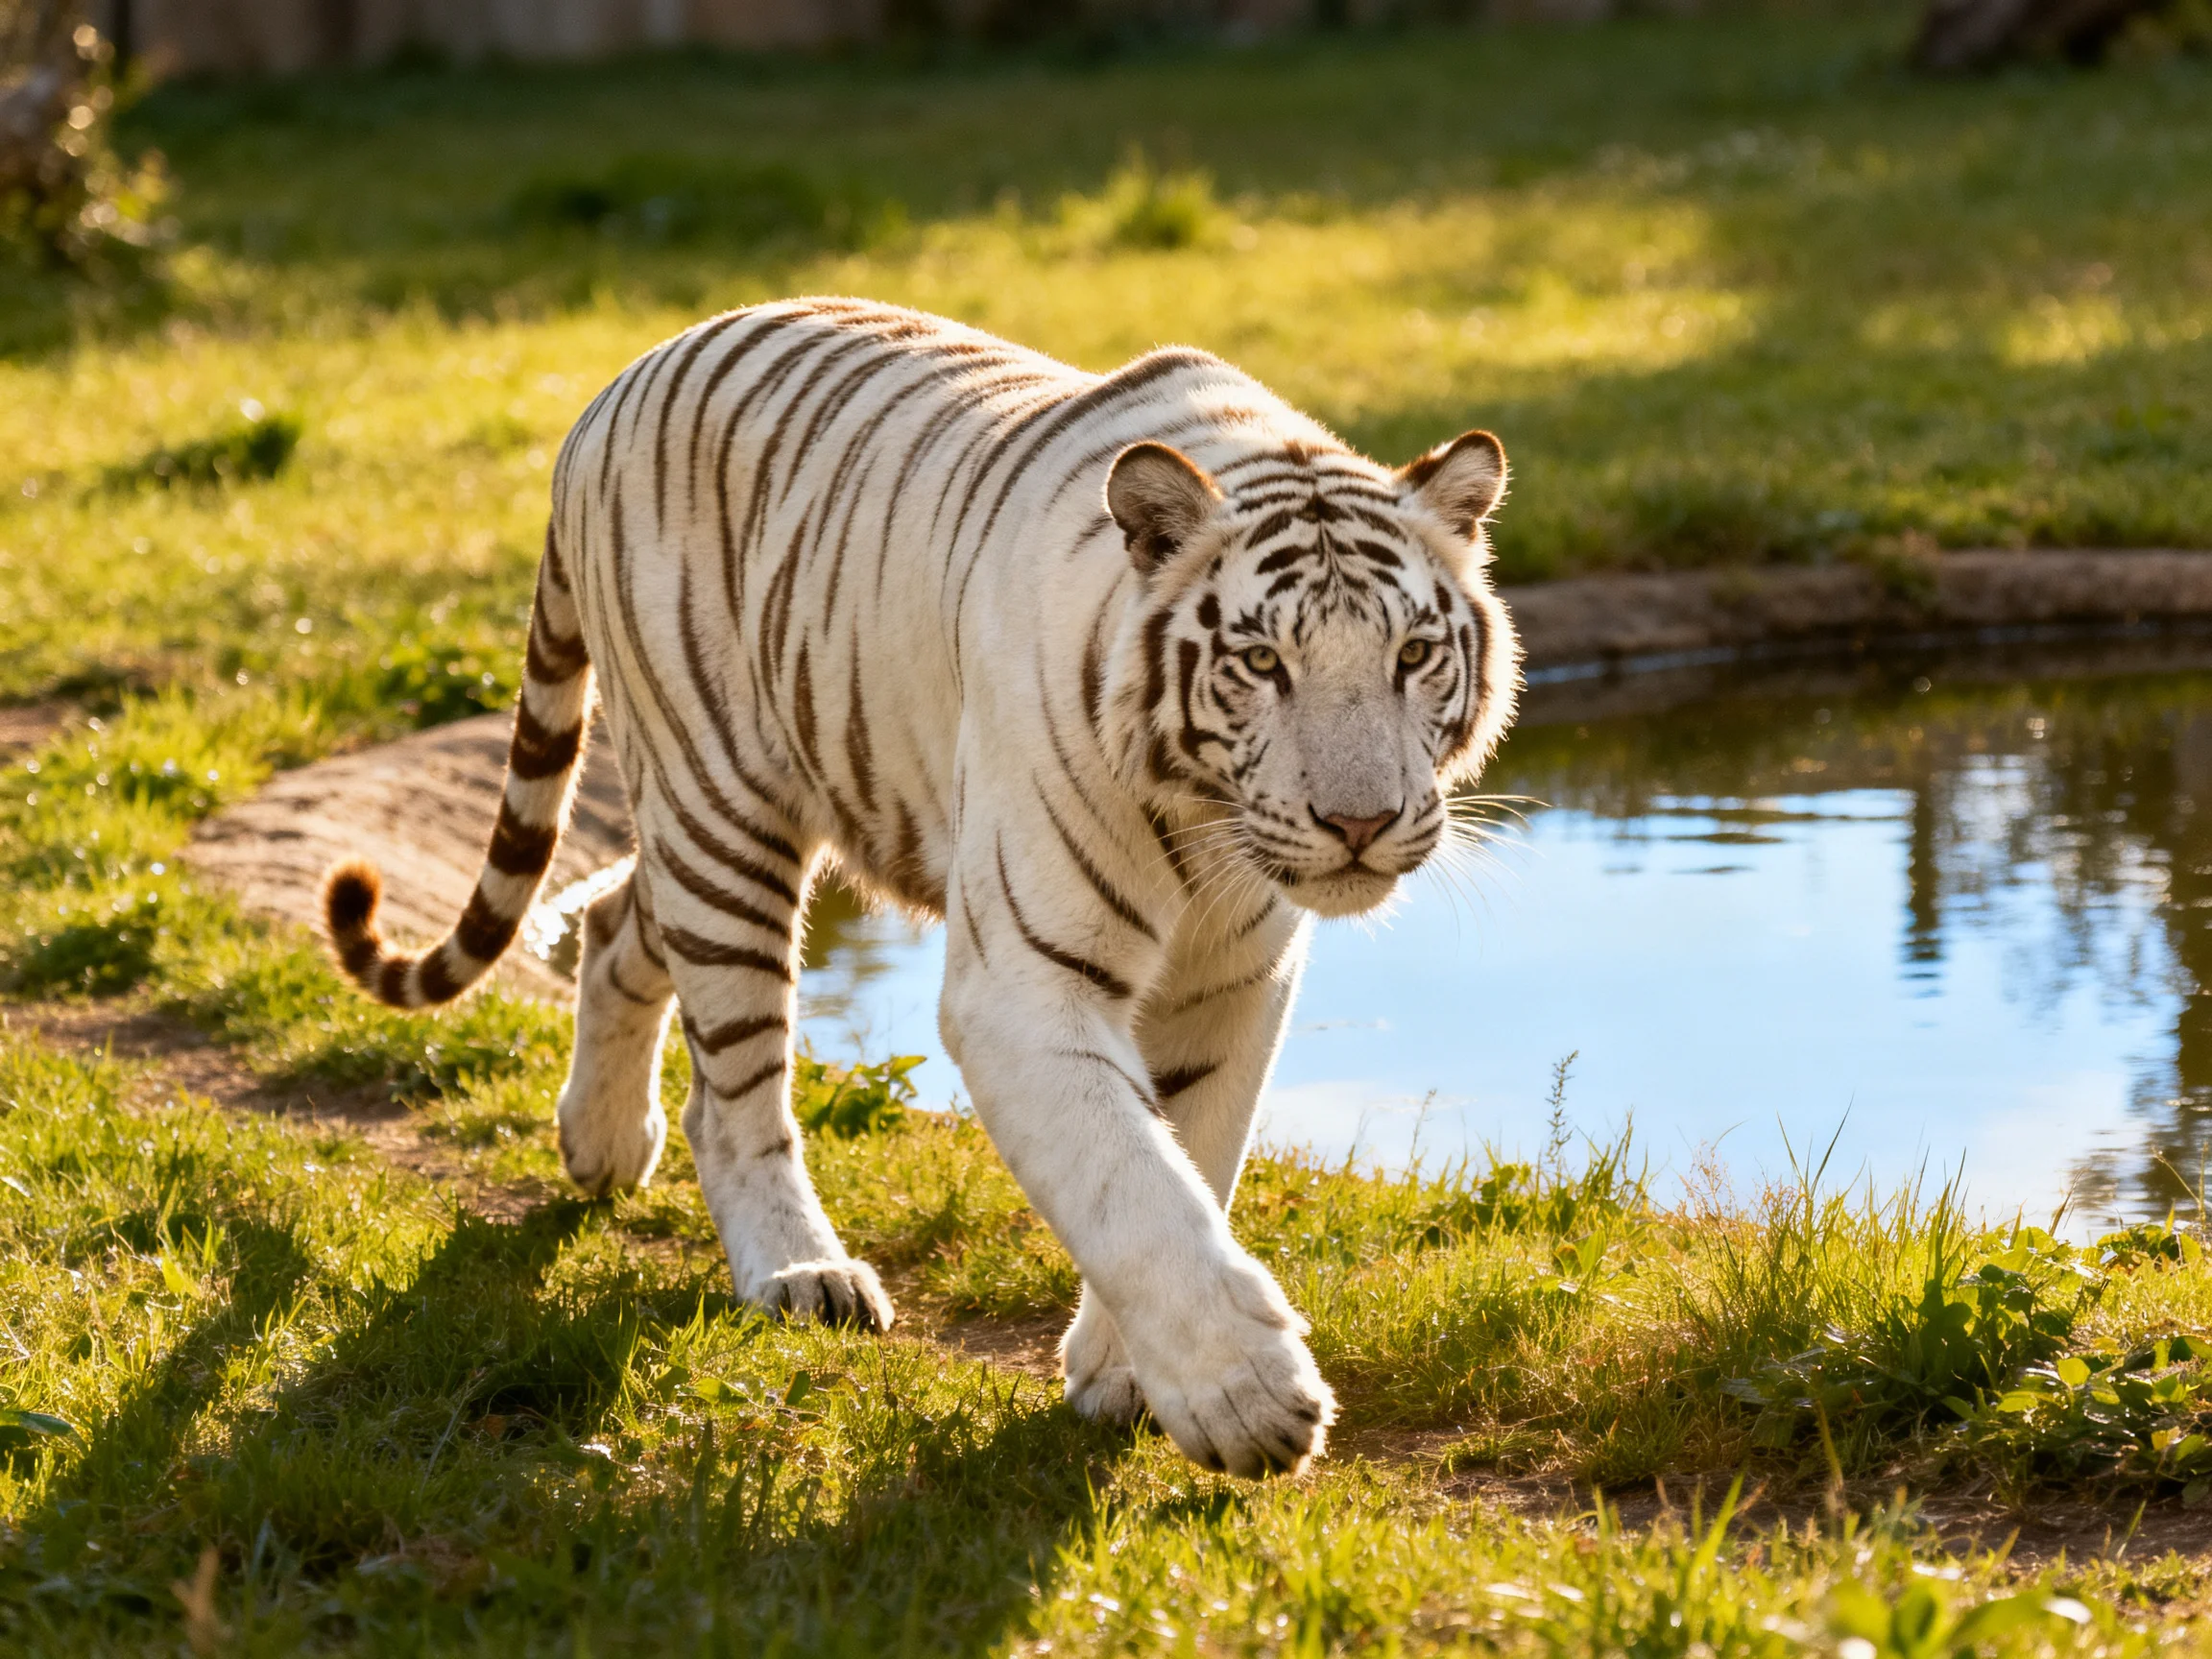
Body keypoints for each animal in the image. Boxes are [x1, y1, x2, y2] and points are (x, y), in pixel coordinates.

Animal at [321, 297, 1521, 1478]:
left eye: (1414, 655)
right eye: (1263, 662)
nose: (1359, 825)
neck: (1202, 824)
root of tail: (614, 385)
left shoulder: (1231, 983)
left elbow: (1189, 1160)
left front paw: (1127, 1377)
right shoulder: (1025, 984)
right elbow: (1131, 1181)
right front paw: (1248, 1397)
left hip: (700, 829)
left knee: (618, 921)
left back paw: (602, 1146)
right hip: (723, 814)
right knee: (734, 1093)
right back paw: (798, 1272)